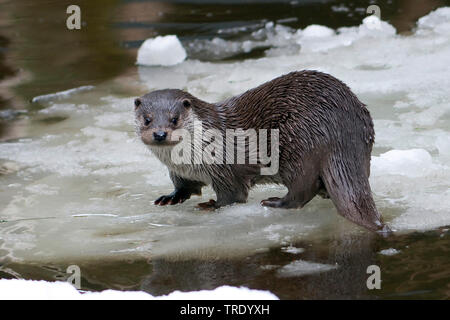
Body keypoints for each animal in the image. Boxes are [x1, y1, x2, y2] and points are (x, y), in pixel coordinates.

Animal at [134, 70, 390, 232]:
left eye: (174, 119)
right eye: (147, 119)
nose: (160, 134)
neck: (187, 161)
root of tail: (343, 126)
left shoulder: (224, 168)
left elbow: (233, 196)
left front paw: (211, 205)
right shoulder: (179, 172)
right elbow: (184, 187)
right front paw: (170, 197)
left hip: (297, 145)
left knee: (302, 188)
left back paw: (275, 202)